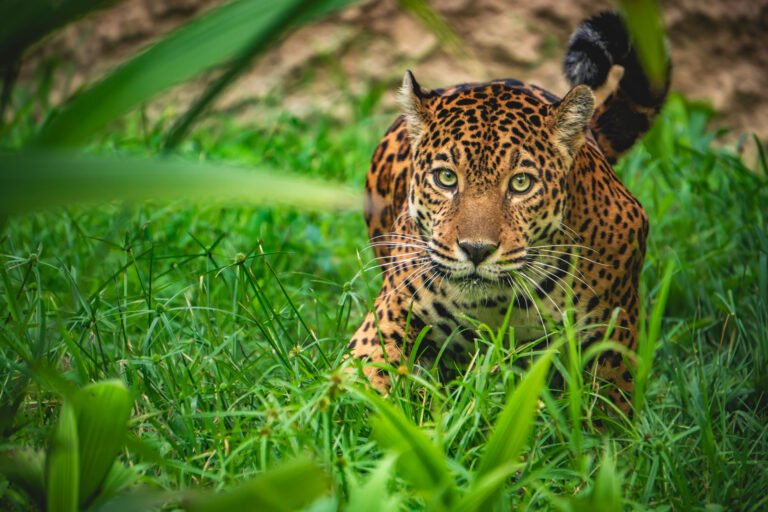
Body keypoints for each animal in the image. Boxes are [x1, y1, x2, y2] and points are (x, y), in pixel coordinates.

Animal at [347, 12, 670, 415]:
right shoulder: (387, 319)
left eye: (520, 183)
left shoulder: (613, 332)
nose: (476, 250)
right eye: (446, 178)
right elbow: (370, 388)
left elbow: (609, 407)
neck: (497, 303)